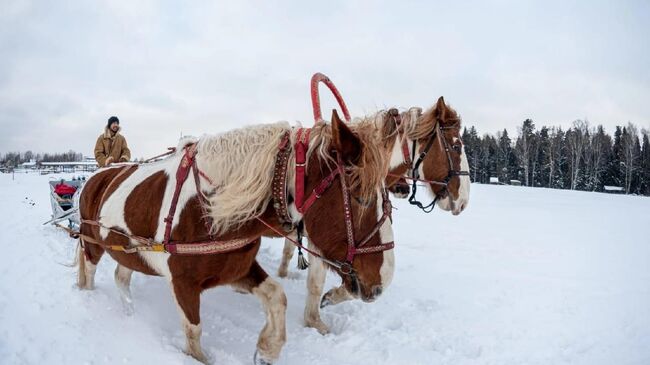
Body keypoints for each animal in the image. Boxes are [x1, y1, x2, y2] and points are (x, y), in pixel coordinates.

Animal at [73, 112, 392, 362]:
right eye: (362, 198)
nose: (383, 282)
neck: (209, 210)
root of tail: (97, 176)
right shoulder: (183, 284)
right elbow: (193, 332)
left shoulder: (236, 268)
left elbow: (277, 296)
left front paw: (266, 350)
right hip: (92, 242)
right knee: (89, 269)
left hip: (129, 251)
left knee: (121, 276)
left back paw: (130, 311)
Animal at [276, 96, 468, 332]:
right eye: (456, 146)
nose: (463, 200)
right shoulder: (322, 234)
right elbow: (317, 279)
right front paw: (315, 321)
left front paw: (332, 297)